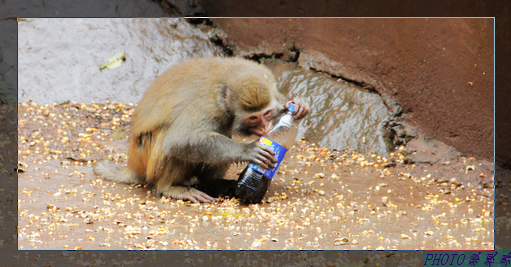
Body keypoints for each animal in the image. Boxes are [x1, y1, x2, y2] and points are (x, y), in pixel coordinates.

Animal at [94, 57, 310, 203]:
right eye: (253, 118)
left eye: (266, 114)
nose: (266, 127)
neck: (225, 88)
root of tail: (133, 164)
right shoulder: (209, 105)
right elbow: (179, 140)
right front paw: (248, 150)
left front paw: (298, 106)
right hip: (146, 158)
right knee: (171, 143)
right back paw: (169, 187)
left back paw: (213, 183)